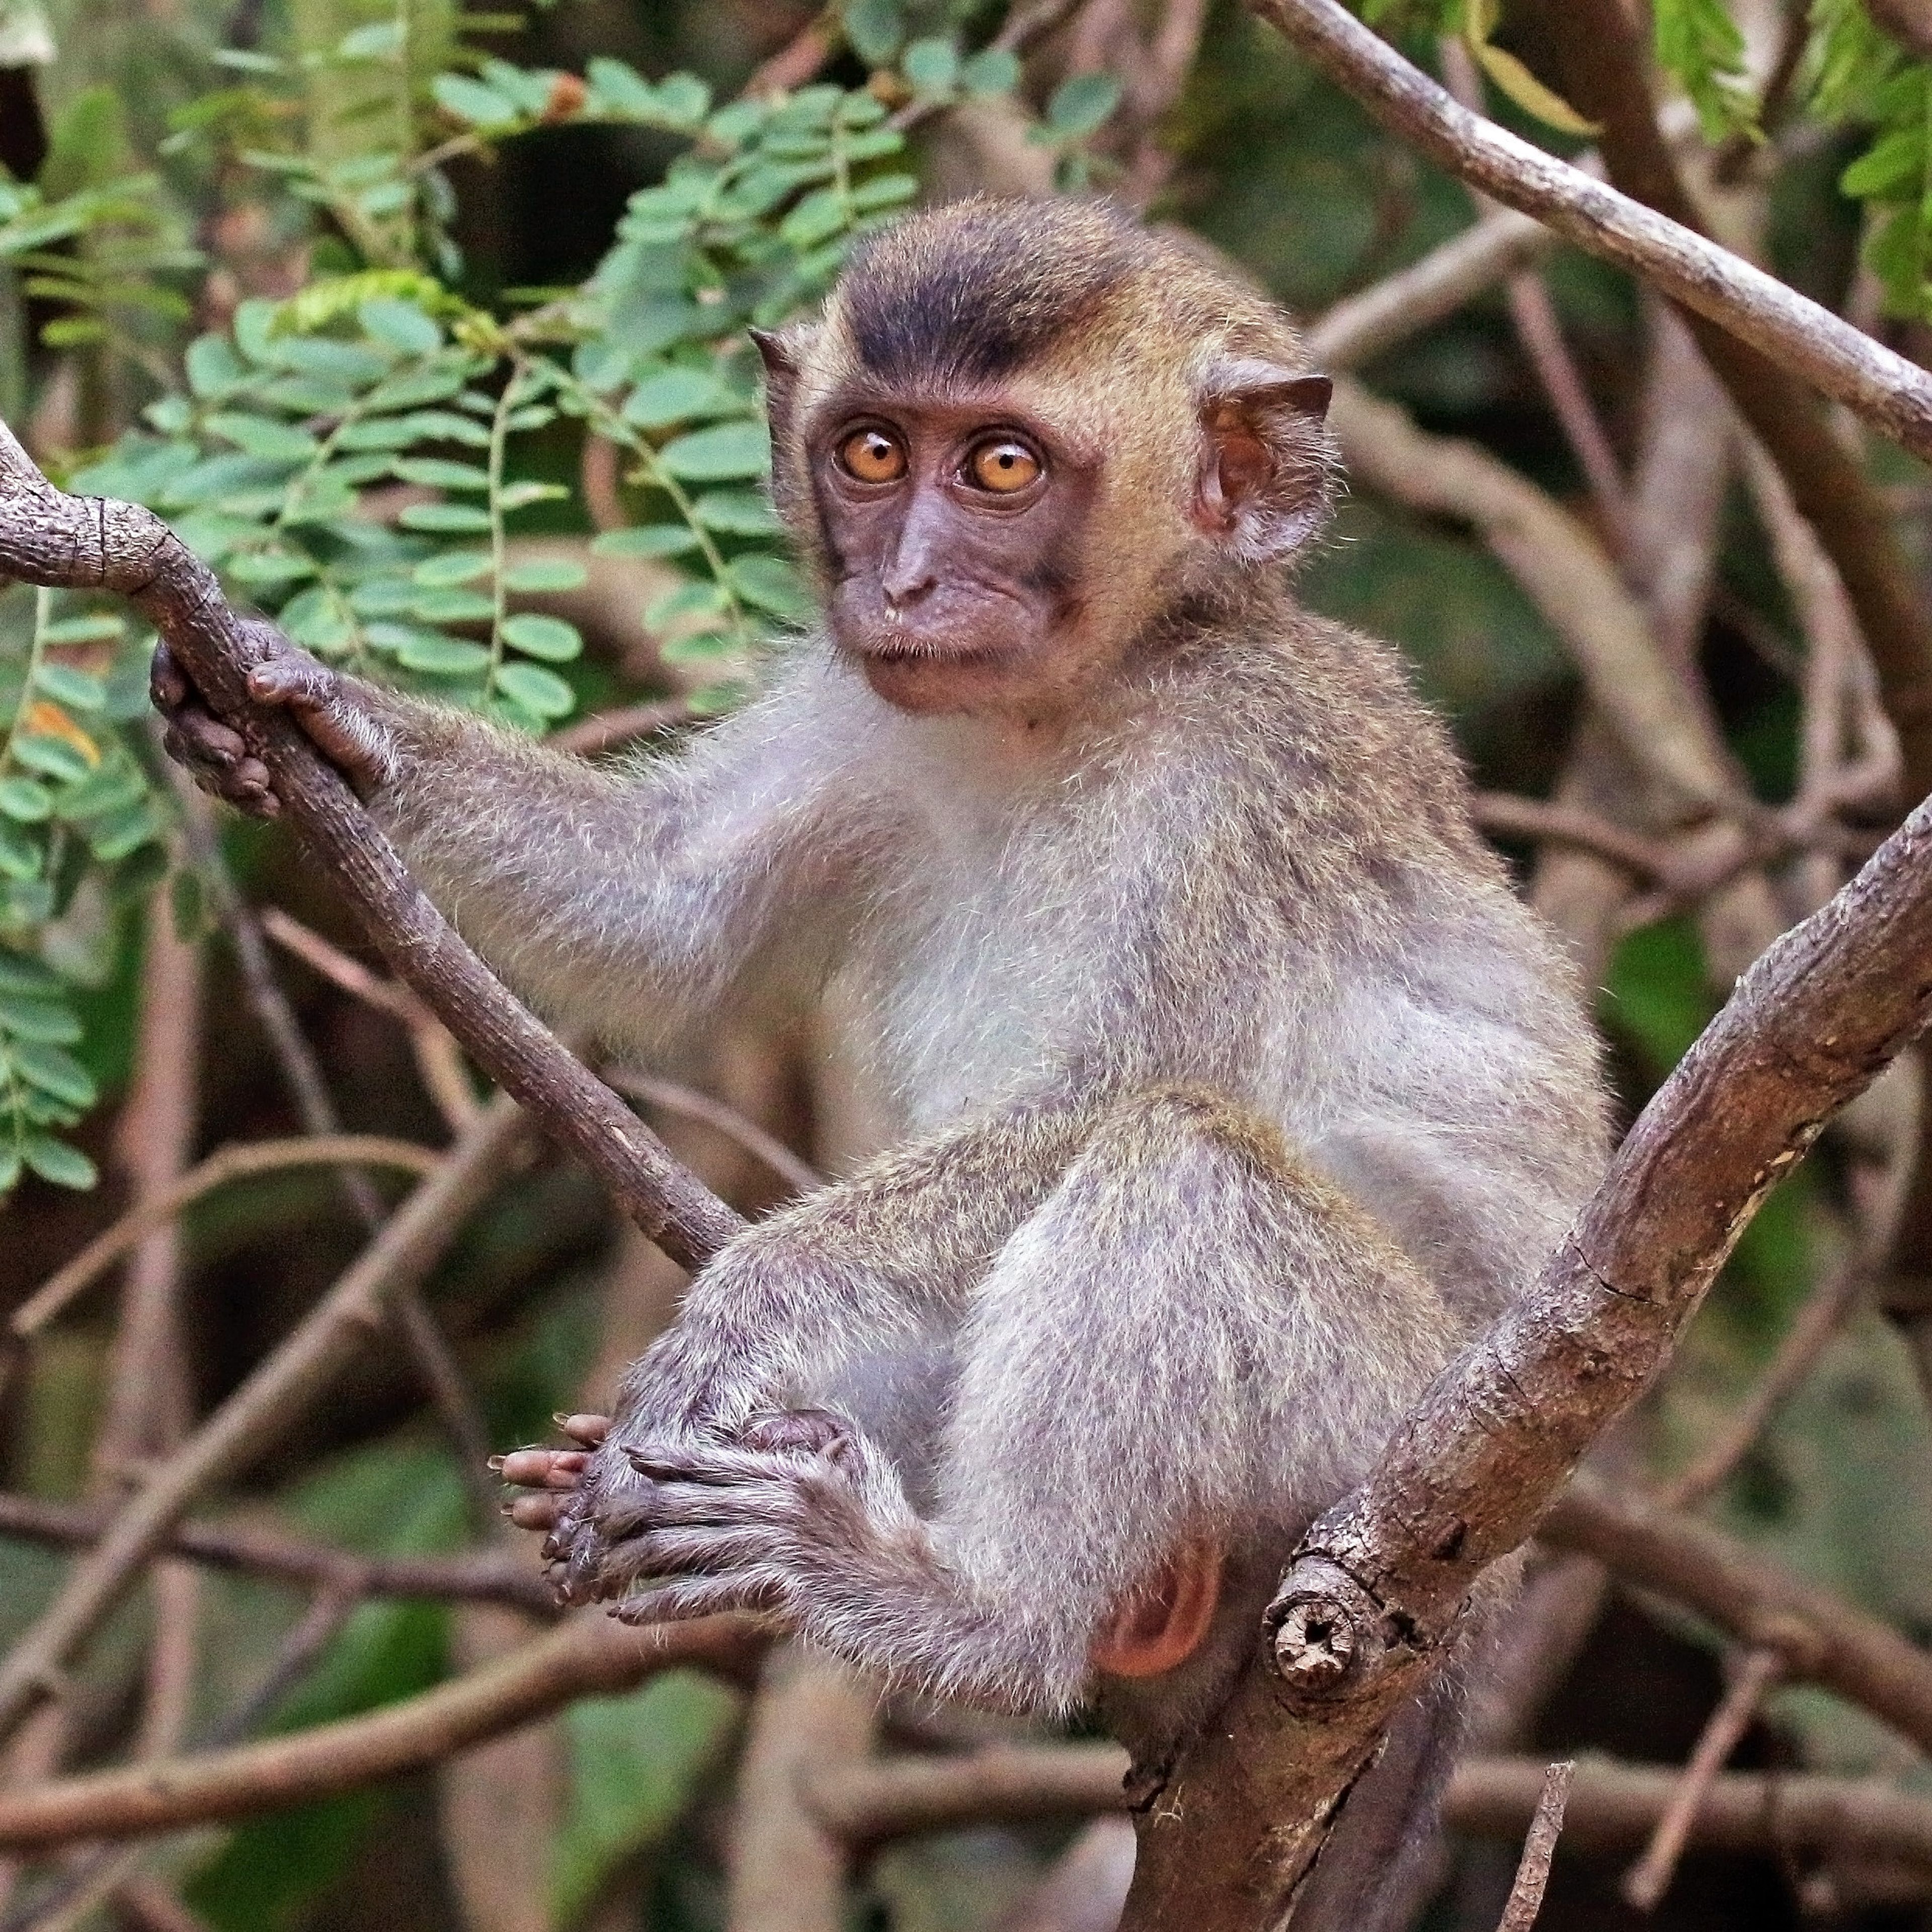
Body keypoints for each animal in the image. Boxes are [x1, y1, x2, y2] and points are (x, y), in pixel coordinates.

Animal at [155, 195, 1607, 1926]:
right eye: (867, 453)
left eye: (1000, 467)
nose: (904, 583)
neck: (1072, 704)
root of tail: (1478, 1597)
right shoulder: (860, 711)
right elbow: (670, 910)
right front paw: (312, 712)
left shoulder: (1249, 776)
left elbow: (1100, 1091)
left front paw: (732, 1313)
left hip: (1374, 1437)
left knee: (1176, 1164)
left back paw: (978, 1616)